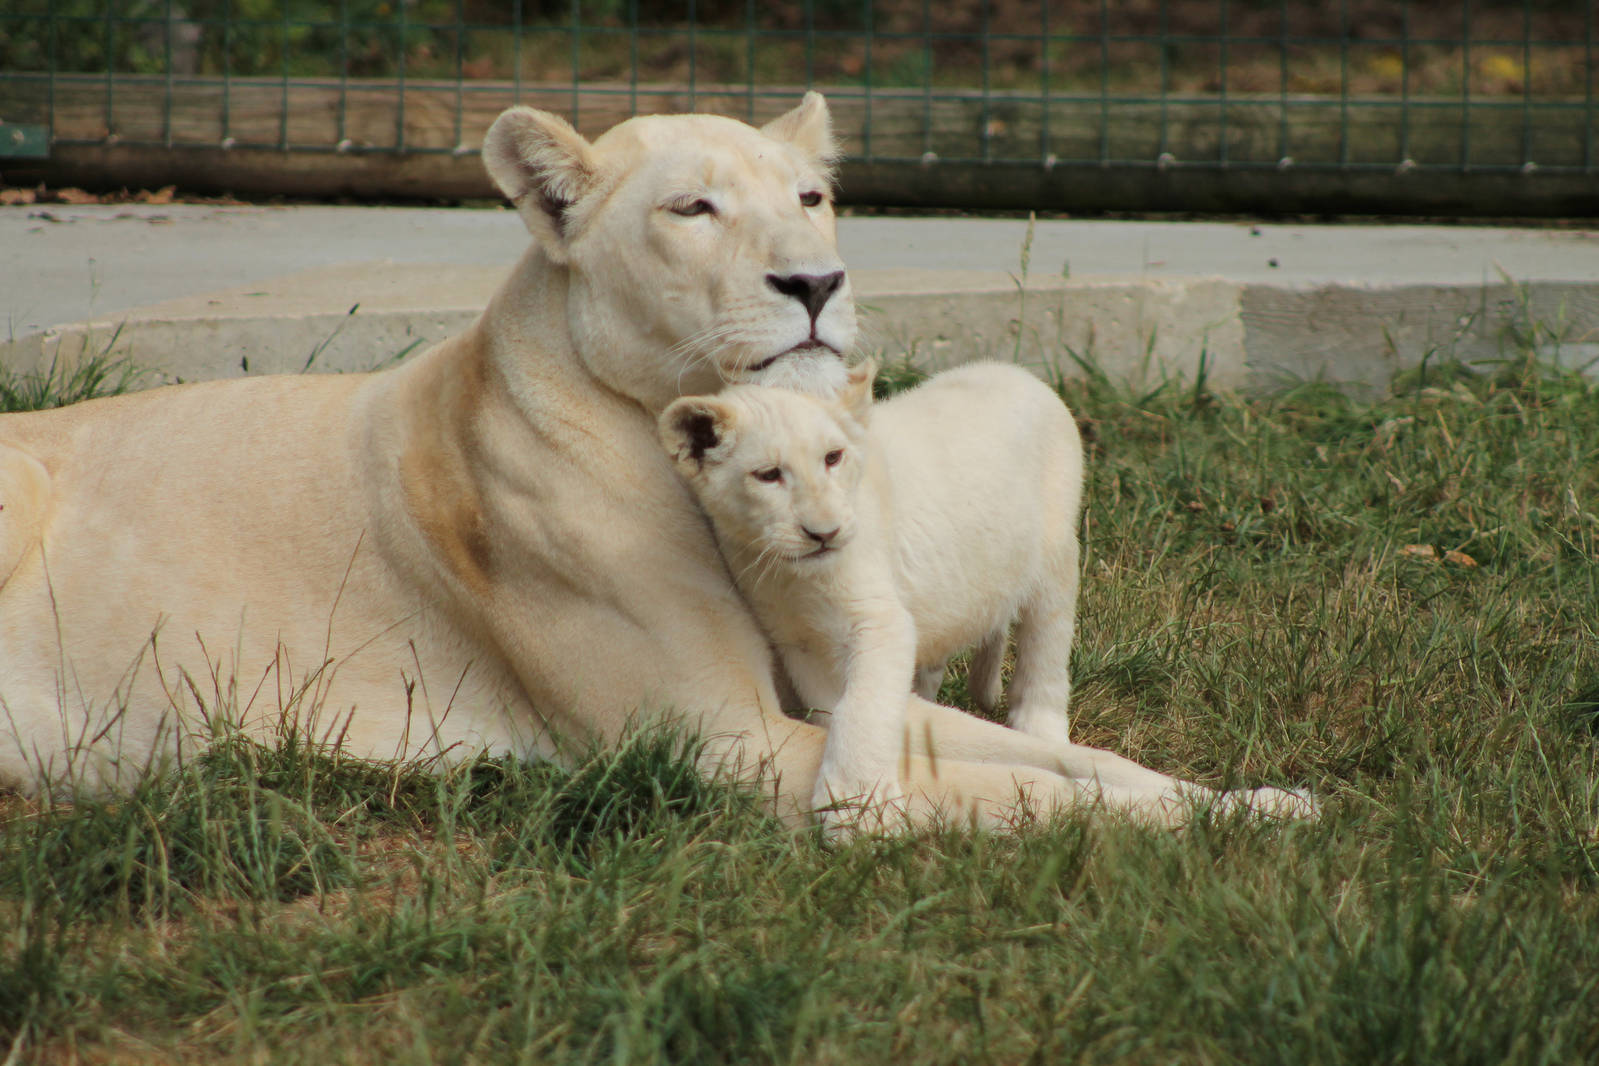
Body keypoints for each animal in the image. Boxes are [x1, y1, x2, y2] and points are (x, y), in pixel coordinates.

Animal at [660, 361, 1086, 826]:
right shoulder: (799, 640)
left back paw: (1041, 728)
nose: (824, 533)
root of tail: (1014, 369)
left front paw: (856, 808)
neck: (793, 577)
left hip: (1055, 557)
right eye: (768, 475)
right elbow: (836, 705)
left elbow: (863, 706)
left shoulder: (880, 619)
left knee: (1046, 649)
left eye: (833, 457)